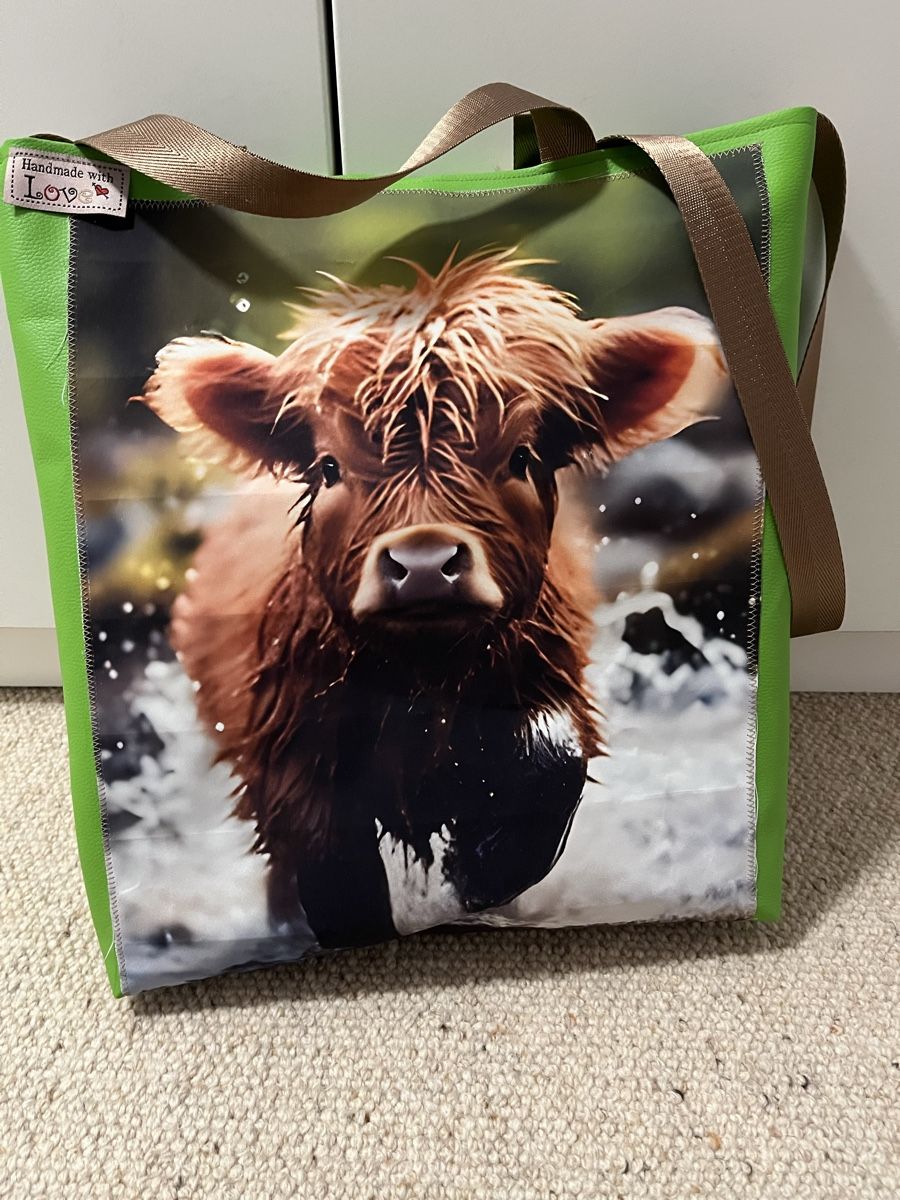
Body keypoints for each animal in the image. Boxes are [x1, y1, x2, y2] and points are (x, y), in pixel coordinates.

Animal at [138, 248, 726, 950]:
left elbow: (551, 764)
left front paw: (472, 875)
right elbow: (336, 879)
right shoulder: (289, 760)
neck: (424, 684)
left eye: (521, 457)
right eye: (330, 467)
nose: (422, 563)